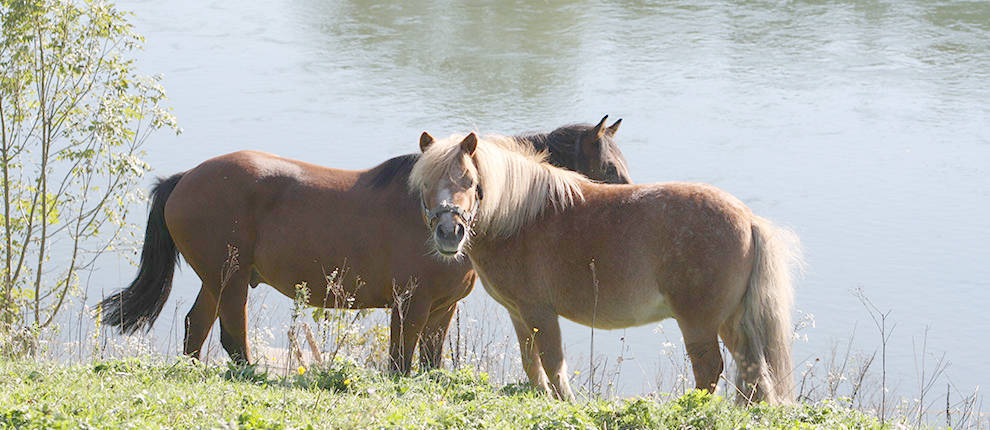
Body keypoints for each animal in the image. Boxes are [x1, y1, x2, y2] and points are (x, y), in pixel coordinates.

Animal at [99, 116, 628, 372]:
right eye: (609, 169)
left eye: (473, 183)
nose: (449, 233)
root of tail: (184, 179)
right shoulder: (410, 305)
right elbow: (401, 365)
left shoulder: (442, 309)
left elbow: (428, 365)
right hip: (229, 281)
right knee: (231, 338)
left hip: (218, 279)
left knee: (196, 329)